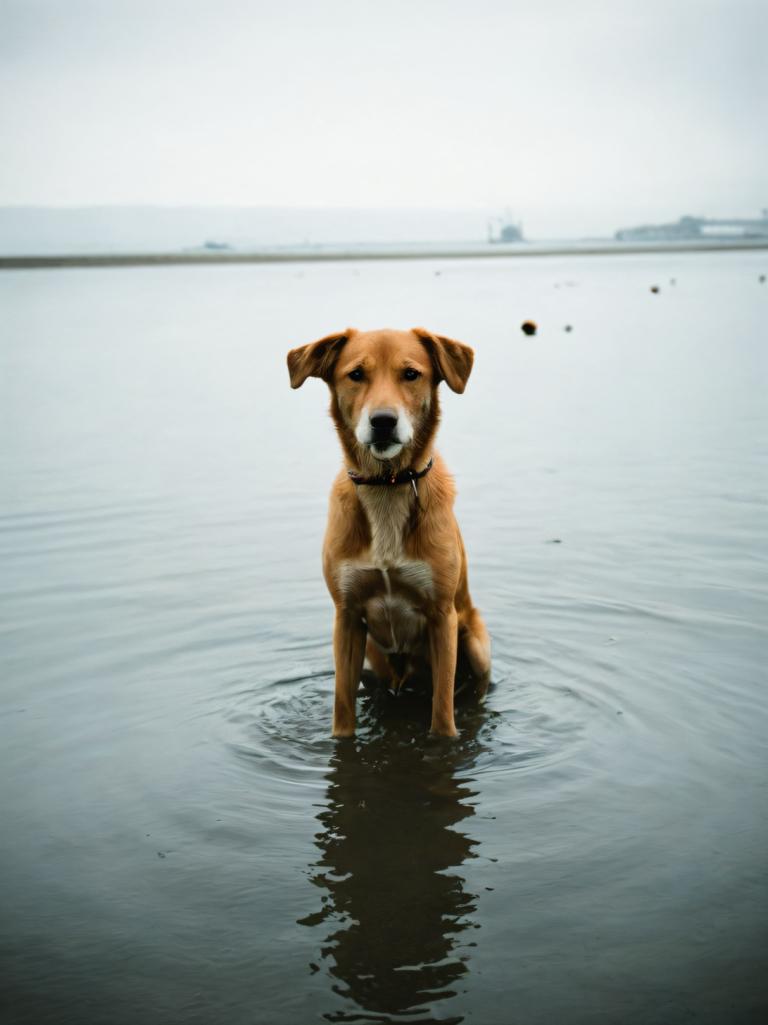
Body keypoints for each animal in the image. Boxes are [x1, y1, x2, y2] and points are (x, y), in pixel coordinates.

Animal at [287, 328, 492, 738]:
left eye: (411, 374)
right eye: (356, 374)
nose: (383, 421)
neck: (387, 485)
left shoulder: (442, 617)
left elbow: (442, 713)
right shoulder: (347, 617)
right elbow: (342, 707)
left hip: (476, 643)